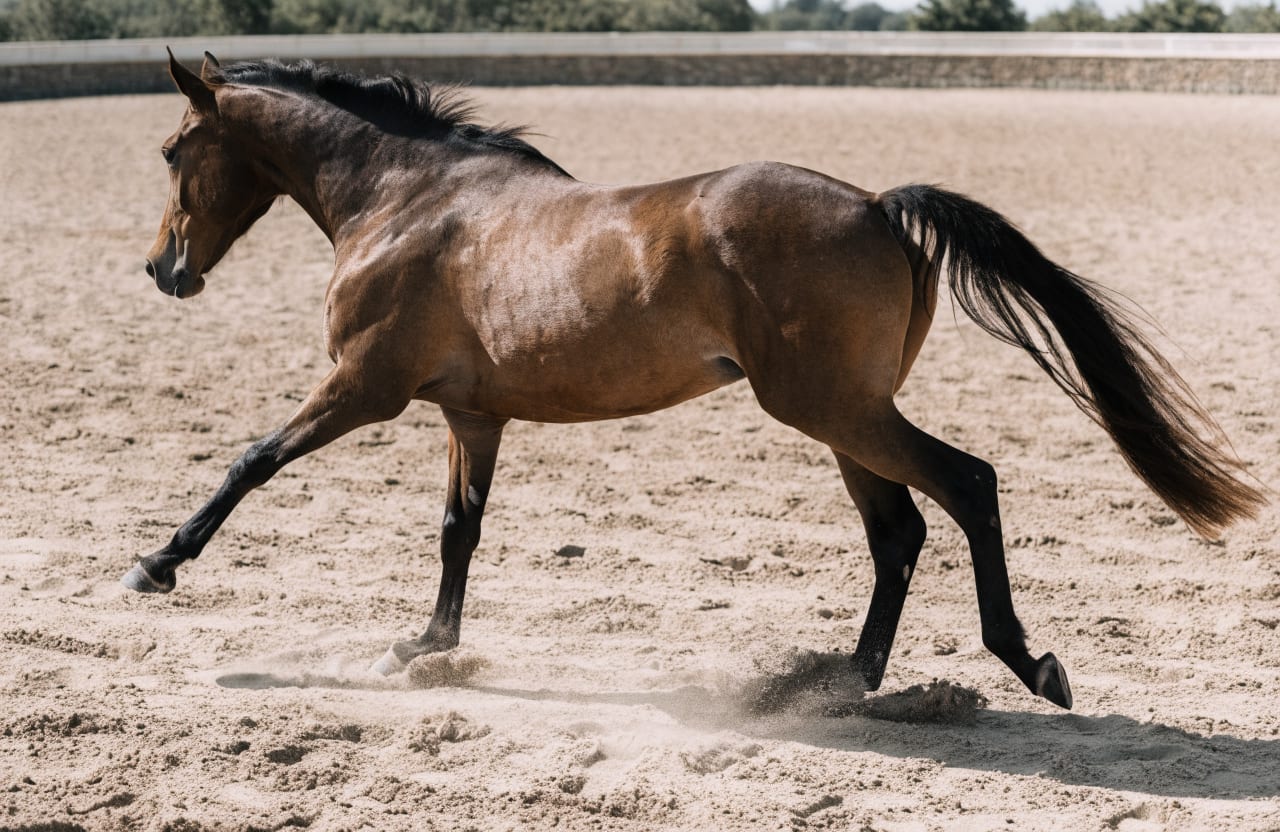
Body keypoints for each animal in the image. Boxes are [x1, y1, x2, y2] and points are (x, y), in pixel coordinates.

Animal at [125, 50, 1265, 711]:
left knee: (964, 487)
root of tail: (878, 206)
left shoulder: (362, 387)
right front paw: (424, 647)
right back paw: (844, 682)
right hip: (843, 419)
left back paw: (1024, 664)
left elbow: (249, 461)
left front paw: (155, 565)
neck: (408, 202)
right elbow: (459, 531)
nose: (162, 271)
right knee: (897, 530)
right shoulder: (471, 415)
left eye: (176, 147)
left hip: (829, 408)